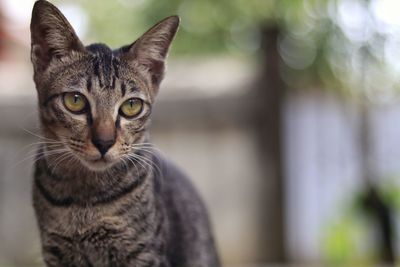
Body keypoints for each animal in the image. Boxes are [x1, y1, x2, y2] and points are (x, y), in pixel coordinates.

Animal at [30, 1, 220, 266]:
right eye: (75, 101)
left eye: (131, 106)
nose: (104, 142)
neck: (85, 201)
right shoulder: (56, 252)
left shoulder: (144, 252)